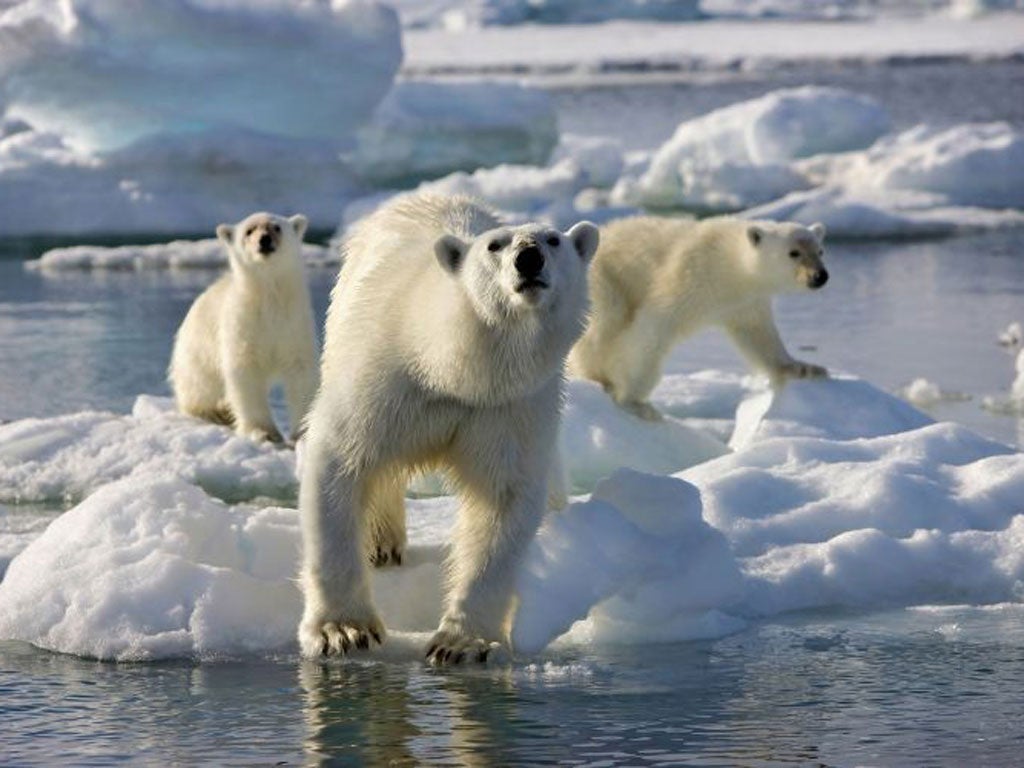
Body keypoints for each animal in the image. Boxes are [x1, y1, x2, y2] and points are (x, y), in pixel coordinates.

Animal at [167, 214, 315, 444]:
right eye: (249, 230)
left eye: (276, 227)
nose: (264, 240)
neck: (268, 297)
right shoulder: (242, 325)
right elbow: (245, 372)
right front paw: (264, 431)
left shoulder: (293, 323)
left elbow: (300, 370)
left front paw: (303, 432)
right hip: (196, 355)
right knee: (200, 386)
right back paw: (216, 411)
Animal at [299, 193, 598, 667]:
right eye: (495, 246)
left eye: (553, 240)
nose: (529, 257)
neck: (452, 370)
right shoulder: (386, 381)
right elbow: (341, 462)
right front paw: (342, 631)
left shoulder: (508, 408)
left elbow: (502, 500)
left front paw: (462, 643)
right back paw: (381, 544)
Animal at [573, 215, 827, 421]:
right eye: (794, 253)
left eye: (820, 251)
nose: (820, 276)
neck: (729, 263)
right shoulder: (690, 275)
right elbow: (652, 328)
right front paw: (634, 401)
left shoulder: (745, 302)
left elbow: (759, 335)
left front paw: (804, 368)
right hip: (603, 280)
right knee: (604, 325)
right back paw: (596, 376)